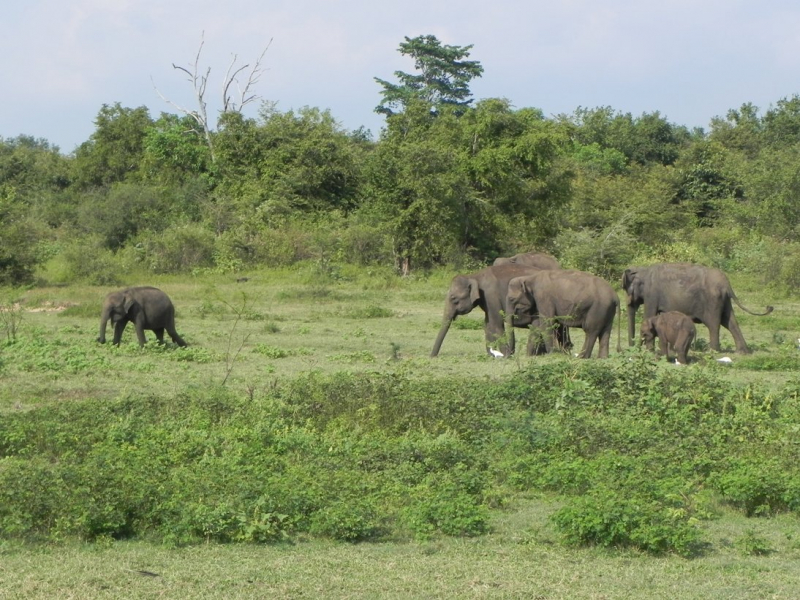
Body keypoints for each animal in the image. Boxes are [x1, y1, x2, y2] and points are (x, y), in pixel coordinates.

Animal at [432, 262, 568, 356]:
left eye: (454, 299)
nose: (432, 356)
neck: (475, 275)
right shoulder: (486, 301)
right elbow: (487, 325)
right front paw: (491, 354)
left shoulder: (491, 296)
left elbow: (496, 324)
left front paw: (503, 355)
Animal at [620, 262, 772, 352]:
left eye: (625, 289)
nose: (633, 347)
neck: (643, 269)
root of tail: (727, 284)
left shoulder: (651, 294)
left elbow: (649, 315)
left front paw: (649, 350)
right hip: (724, 300)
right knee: (730, 322)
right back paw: (742, 352)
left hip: (713, 300)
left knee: (714, 324)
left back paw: (713, 351)